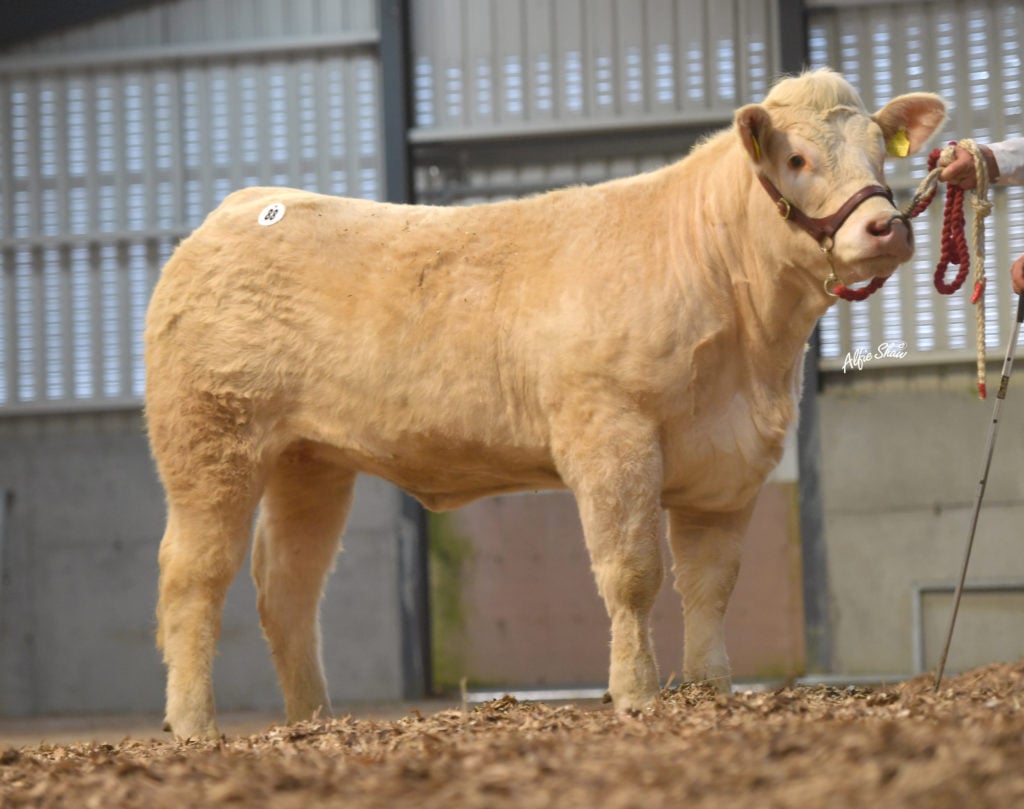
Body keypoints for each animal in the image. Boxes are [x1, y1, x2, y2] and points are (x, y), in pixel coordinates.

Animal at [145, 69, 946, 739]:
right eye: (798, 160)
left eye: (880, 154)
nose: (887, 226)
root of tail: (235, 212)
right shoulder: (611, 434)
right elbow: (633, 574)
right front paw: (636, 695)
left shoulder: (729, 463)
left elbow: (710, 585)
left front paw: (711, 692)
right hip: (210, 442)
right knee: (193, 578)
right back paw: (194, 727)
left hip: (309, 461)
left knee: (287, 589)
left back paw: (314, 719)